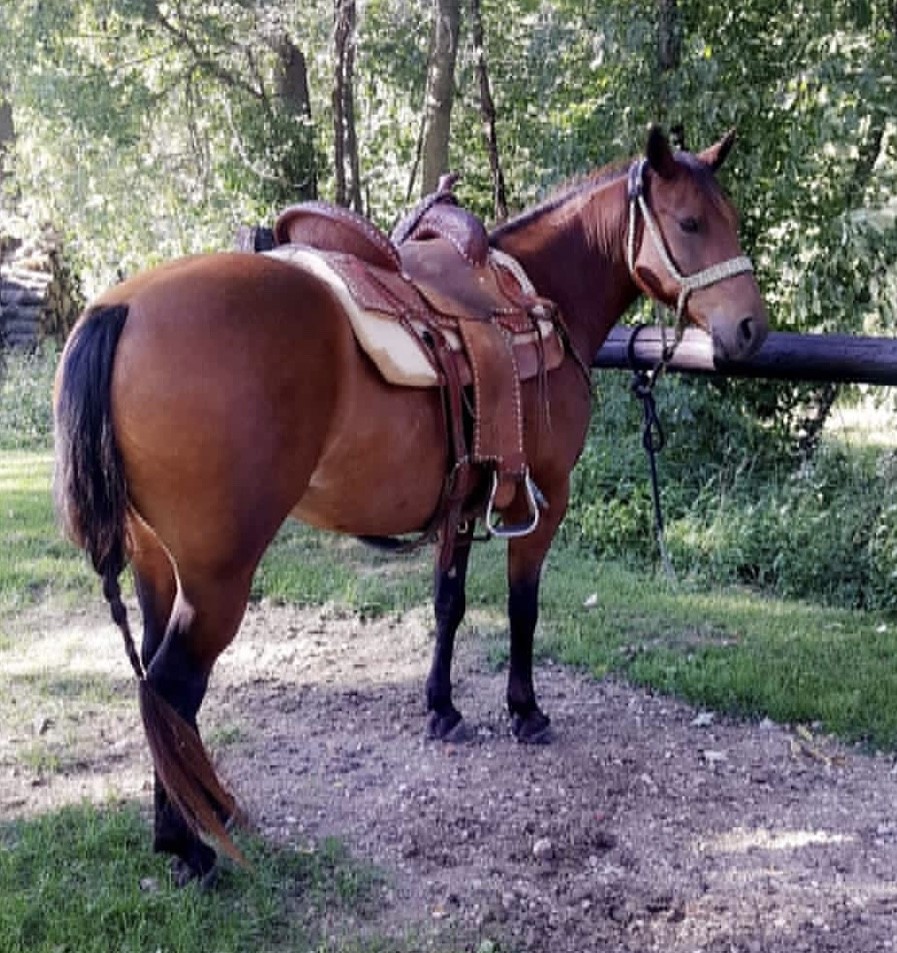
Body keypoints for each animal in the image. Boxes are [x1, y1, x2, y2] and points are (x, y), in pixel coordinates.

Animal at [53, 126, 768, 884]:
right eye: (689, 223)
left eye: (729, 218)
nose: (751, 329)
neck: (539, 296)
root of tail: (119, 309)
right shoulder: (545, 497)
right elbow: (522, 607)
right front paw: (525, 711)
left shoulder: (462, 499)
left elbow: (448, 603)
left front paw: (442, 707)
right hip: (218, 577)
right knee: (172, 687)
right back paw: (189, 846)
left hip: (155, 562)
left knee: (155, 686)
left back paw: (190, 820)